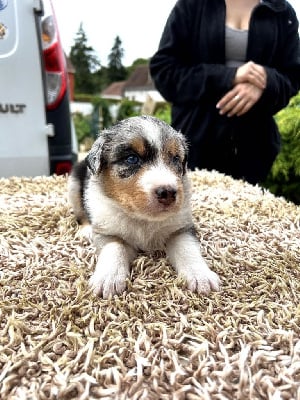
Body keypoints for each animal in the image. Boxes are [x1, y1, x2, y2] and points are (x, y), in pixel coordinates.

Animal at [69, 115, 221, 296]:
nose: (168, 193)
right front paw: (109, 278)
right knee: (81, 214)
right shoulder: (107, 230)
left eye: (175, 158)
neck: (143, 219)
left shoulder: (180, 227)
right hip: (73, 186)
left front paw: (201, 276)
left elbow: (187, 248)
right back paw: (86, 231)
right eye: (132, 159)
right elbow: (115, 247)